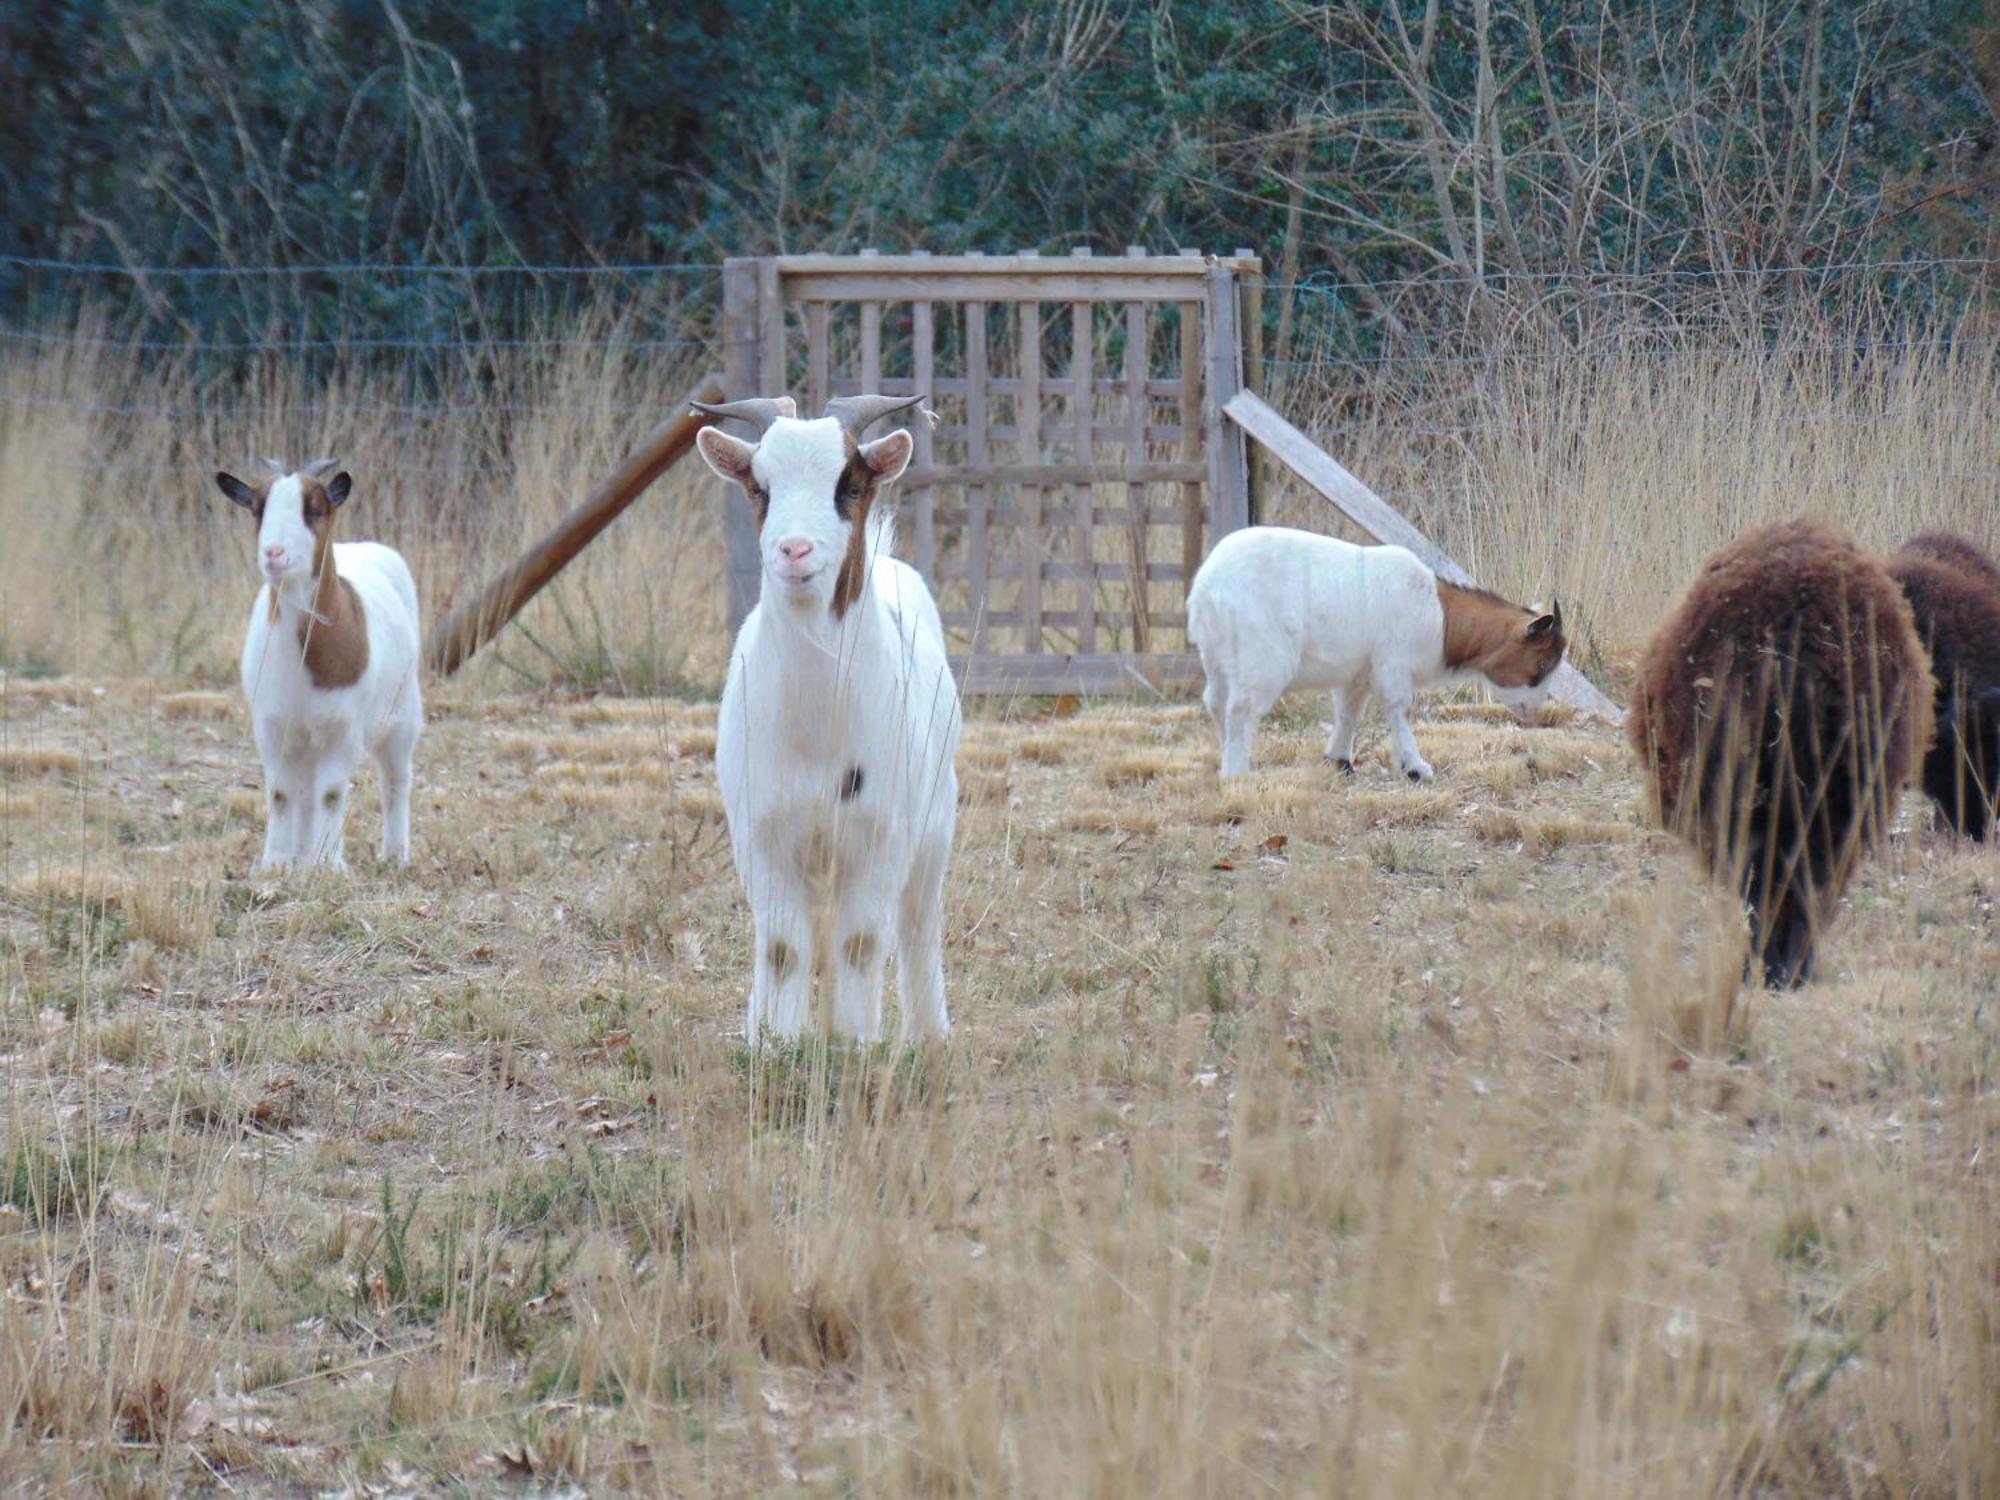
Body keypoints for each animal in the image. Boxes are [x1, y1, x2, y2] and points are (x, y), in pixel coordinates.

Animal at [217, 464, 424, 876]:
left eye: (313, 510)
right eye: (258, 510)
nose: (273, 553)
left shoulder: (343, 727)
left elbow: (330, 794)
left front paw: (329, 864)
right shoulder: (272, 725)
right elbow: (282, 793)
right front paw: (277, 863)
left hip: (403, 712)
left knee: (395, 780)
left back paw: (395, 855)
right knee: (304, 791)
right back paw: (302, 854)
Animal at [692, 390, 964, 1048]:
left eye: (851, 485)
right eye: (759, 487)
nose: (793, 550)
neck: (816, 736)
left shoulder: (881, 836)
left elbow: (862, 943)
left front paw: (857, 1043)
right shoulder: (761, 837)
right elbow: (783, 947)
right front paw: (777, 1044)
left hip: (935, 824)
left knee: (916, 926)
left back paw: (927, 1034)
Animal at [1184, 528, 1560, 780]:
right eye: (1541, 663)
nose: (1533, 712)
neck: (1441, 616)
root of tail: (1207, 586)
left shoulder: (1357, 673)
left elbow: (1349, 712)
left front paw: (1340, 761)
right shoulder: (1393, 662)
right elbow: (1398, 708)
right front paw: (1415, 767)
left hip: (1216, 655)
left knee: (1215, 700)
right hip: (1262, 656)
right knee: (1241, 707)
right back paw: (1236, 774)